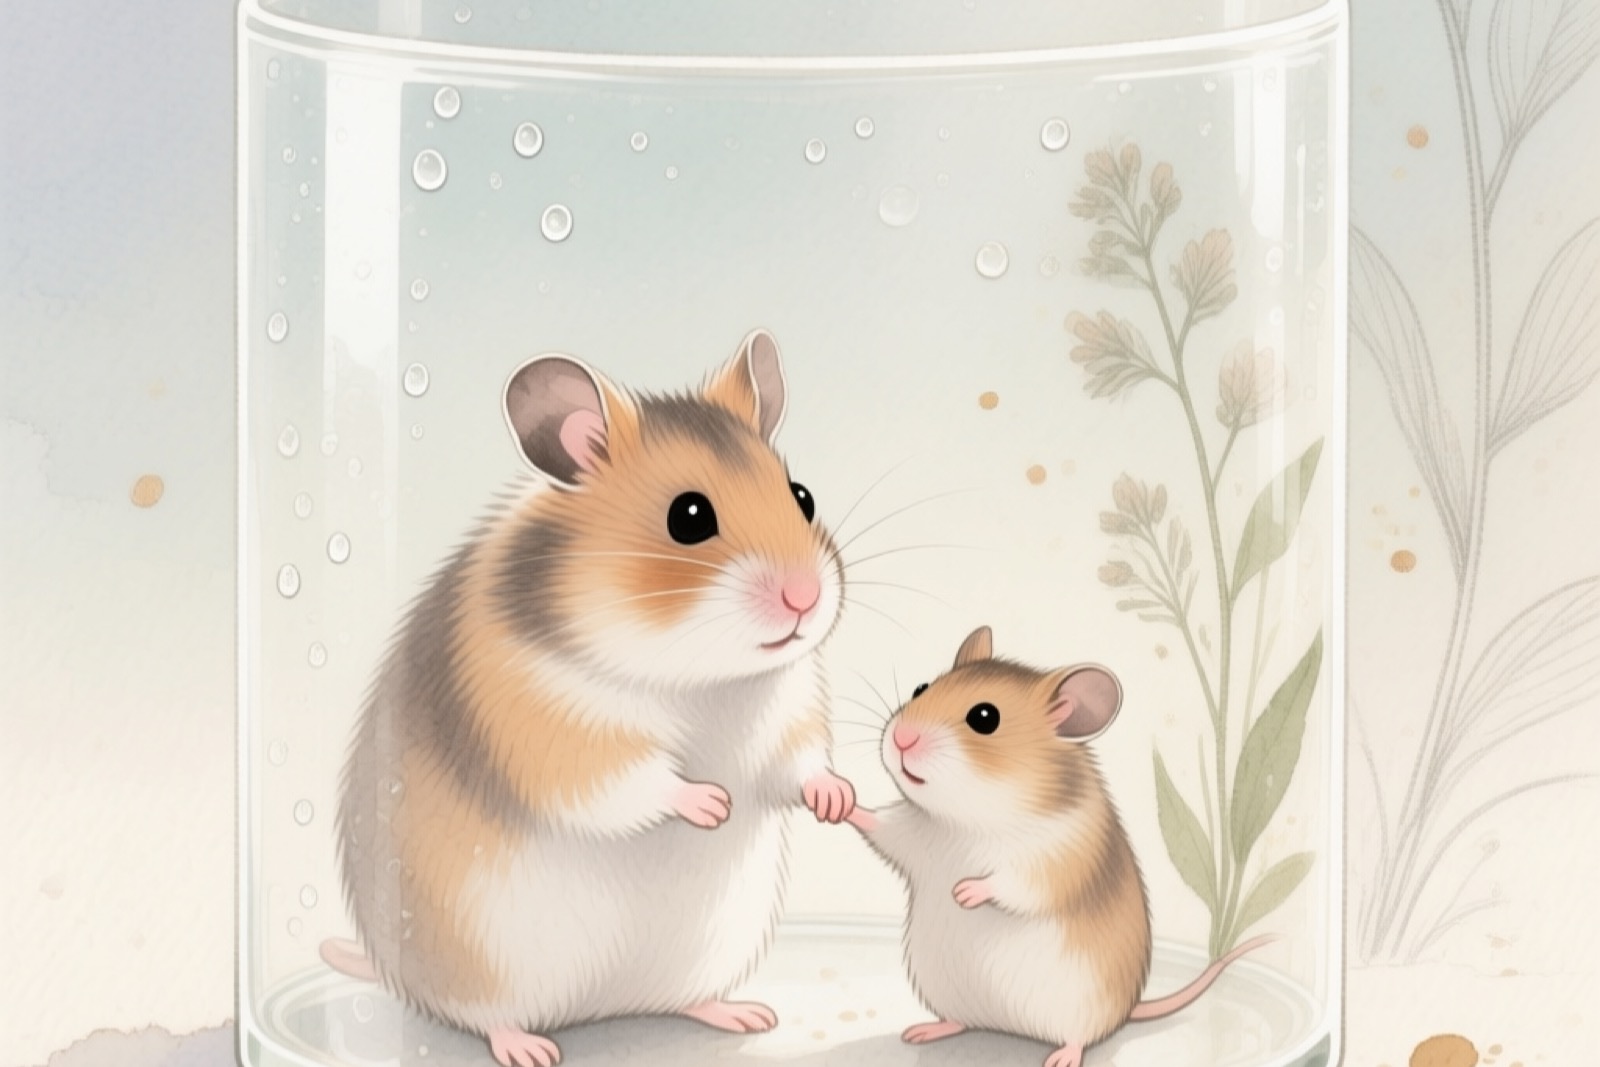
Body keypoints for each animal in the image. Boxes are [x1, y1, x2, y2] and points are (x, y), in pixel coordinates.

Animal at [318, 329, 857, 1067]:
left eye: (801, 496)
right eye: (689, 516)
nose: (805, 597)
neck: (699, 675)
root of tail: (594, 1007)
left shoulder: (788, 710)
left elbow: (802, 766)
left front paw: (839, 801)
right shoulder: (552, 728)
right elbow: (634, 780)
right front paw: (713, 803)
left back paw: (747, 1014)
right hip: (480, 963)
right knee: (485, 1016)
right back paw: (532, 1050)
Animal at [845, 625, 1268, 1067]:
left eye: (984, 717)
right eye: (920, 688)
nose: (901, 739)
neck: (971, 815)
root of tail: (1129, 1009)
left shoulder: (1058, 857)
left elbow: (1013, 882)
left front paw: (963, 891)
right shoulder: (915, 833)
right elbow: (878, 824)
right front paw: (836, 798)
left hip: (1081, 1004)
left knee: (1079, 1037)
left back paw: (1060, 1058)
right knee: (959, 1021)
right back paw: (921, 1031)